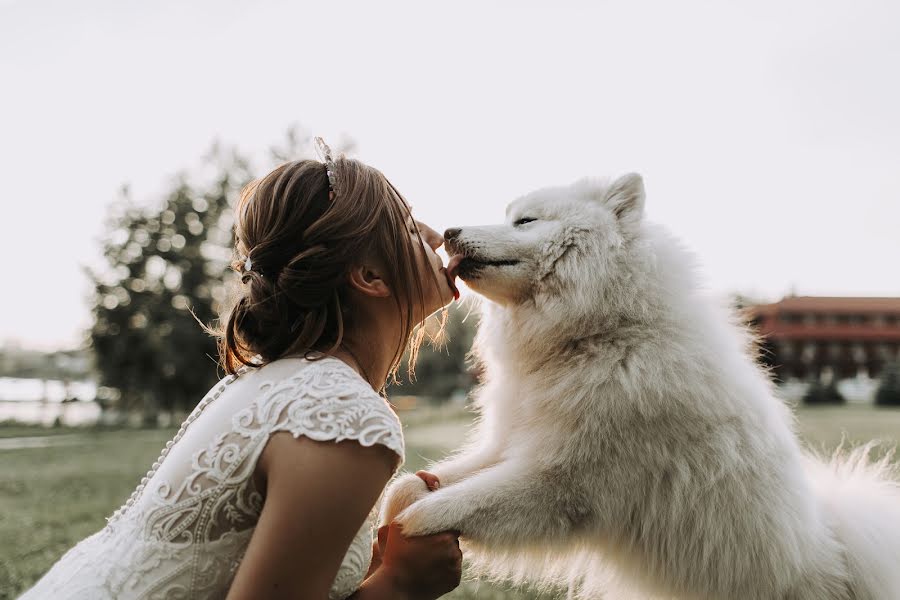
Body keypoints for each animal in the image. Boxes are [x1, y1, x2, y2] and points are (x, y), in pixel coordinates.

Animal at [384, 175, 900, 600]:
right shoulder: (512, 444)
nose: (449, 231)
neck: (603, 335)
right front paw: (400, 496)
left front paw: (412, 526)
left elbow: (463, 501)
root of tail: (835, 550)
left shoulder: (560, 481)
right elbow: (433, 480)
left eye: (525, 220)